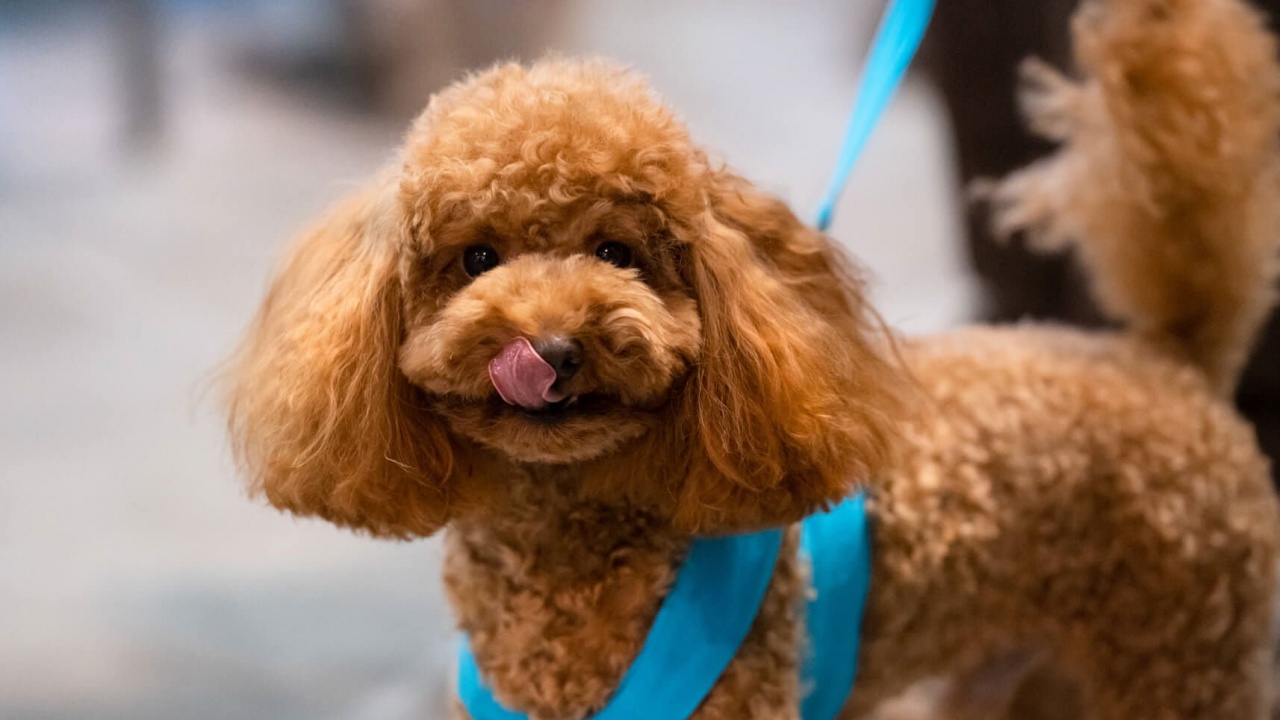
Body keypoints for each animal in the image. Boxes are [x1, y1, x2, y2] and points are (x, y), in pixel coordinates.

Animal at [227, 1, 1280, 717]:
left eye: (618, 251)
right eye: (476, 258)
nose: (552, 348)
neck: (566, 538)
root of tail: (1167, 361)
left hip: (1182, 657)